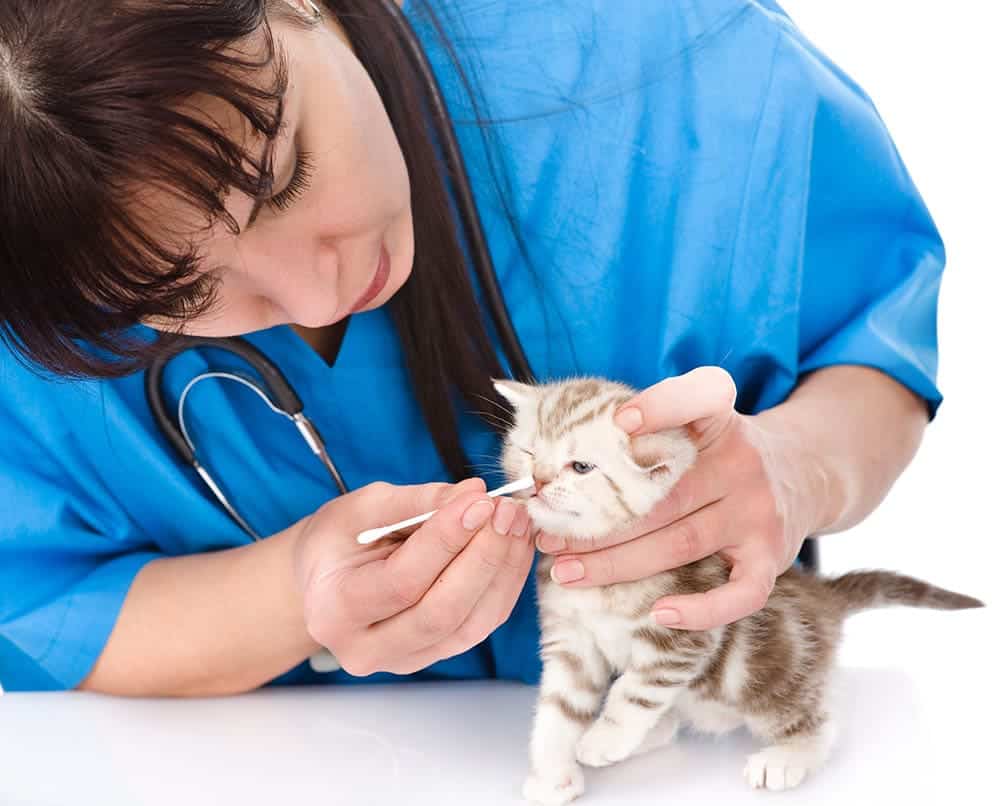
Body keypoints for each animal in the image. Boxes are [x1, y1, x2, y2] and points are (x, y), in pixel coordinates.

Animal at [492, 376, 984, 804]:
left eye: (581, 467)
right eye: (528, 452)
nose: (538, 482)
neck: (602, 585)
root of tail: (823, 598)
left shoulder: (684, 633)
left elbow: (635, 689)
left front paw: (604, 738)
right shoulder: (570, 640)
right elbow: (558, 707)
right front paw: (552, 773)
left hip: (767, 668)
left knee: (817, 721)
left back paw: (787, 757)